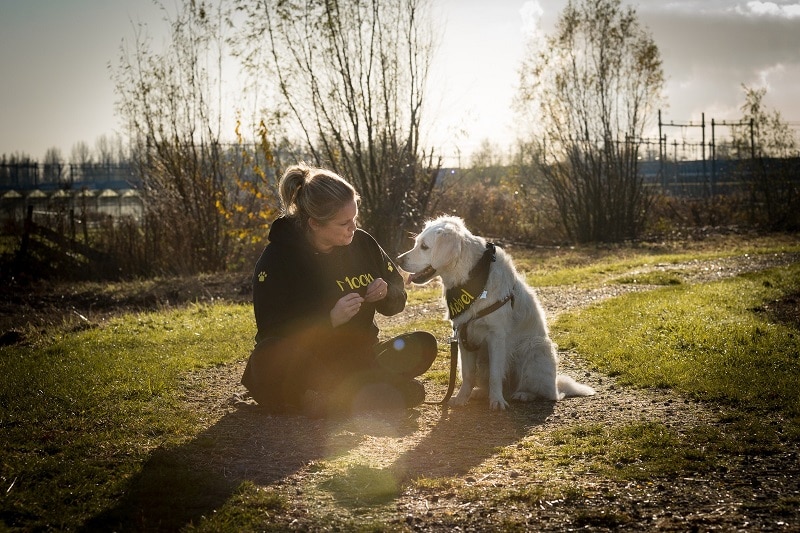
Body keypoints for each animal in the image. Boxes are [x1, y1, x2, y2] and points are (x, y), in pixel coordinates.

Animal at [398, 214, 592, 410]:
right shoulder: (463, 336)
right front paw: (461, 398)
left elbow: (495, 375)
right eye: (416, 243)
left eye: (424, 246)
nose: (398, 259)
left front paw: (497, 401)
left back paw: (524, 394)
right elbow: (468, 375)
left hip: (535, 348)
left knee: (548, 393)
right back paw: (480, 393)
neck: (471, 277)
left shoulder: (496, 335)